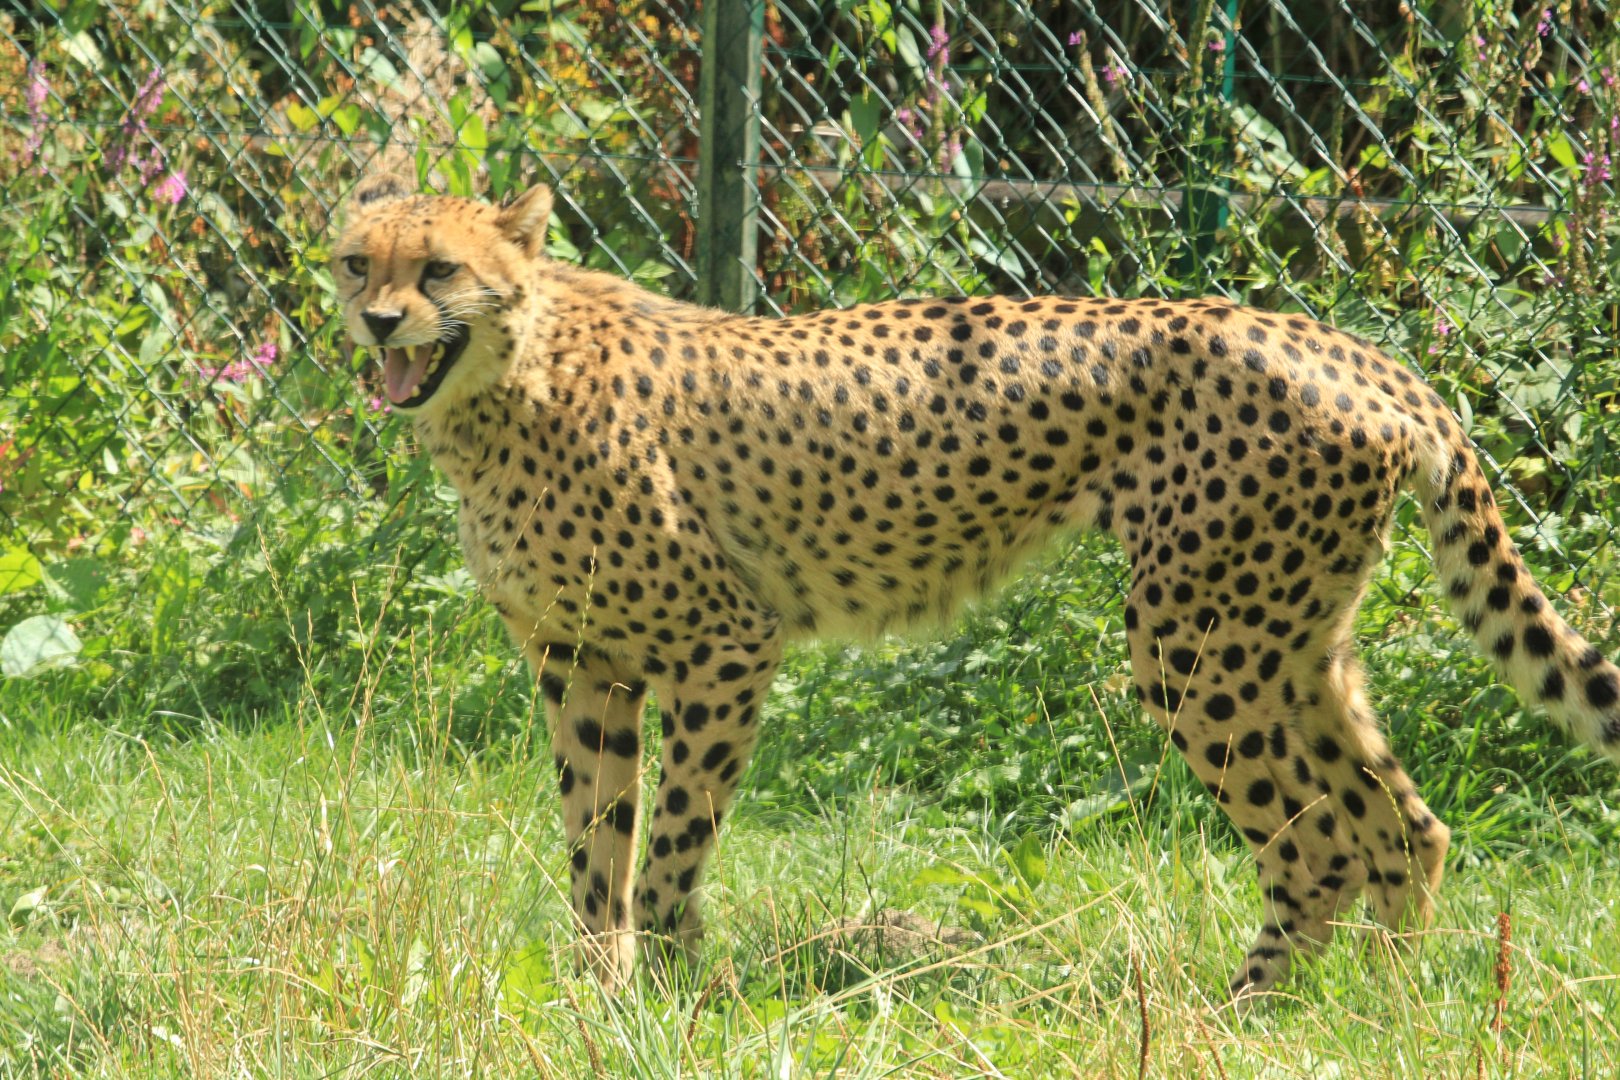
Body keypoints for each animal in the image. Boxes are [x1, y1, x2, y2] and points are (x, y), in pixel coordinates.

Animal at [332, 176, 1620, 1004]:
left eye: (440, 268)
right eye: (358, 260)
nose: (379, 320)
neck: (509, 384)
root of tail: (1358, 350)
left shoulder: (725, 645)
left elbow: (671, 843)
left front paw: (668, 988)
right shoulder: (578, 665)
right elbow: (591, 845)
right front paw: (596, 995)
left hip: (1198, 648)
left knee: (1319, 850)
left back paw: (1242, 1017)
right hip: (1299, 643)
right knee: (1404, 827)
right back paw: (1381, 1011)